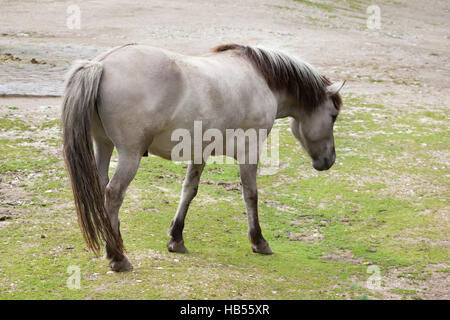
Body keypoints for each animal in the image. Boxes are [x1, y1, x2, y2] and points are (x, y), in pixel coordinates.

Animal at [60, 42, 344, 272]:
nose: (329, 160)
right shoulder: (249, 152)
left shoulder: (200, 153)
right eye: (333, 116)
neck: (263, 80)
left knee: (102, 189)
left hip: (103, 145)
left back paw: (115, 244)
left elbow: (189, 190)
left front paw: (176, 239)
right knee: (113, 194)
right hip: (130, 155)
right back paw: (117, 257)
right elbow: (250, 195)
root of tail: (102, 63)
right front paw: (259, 241)